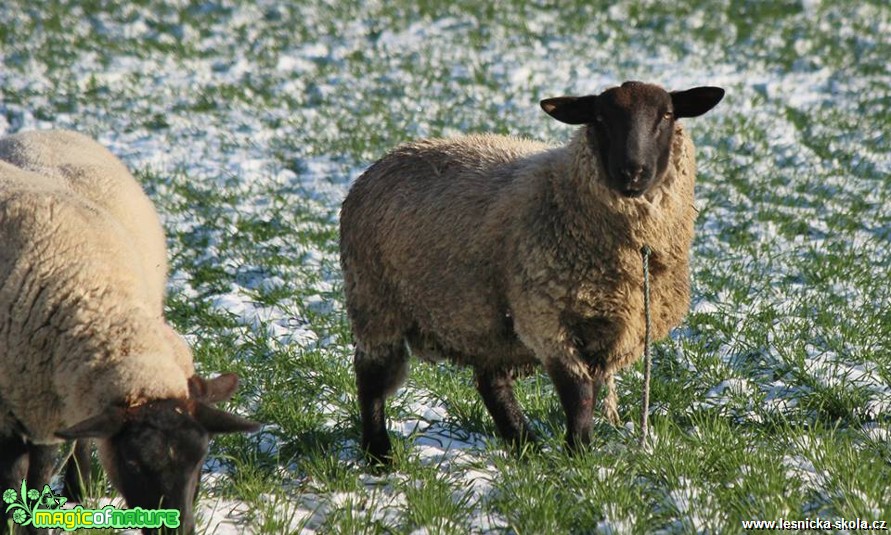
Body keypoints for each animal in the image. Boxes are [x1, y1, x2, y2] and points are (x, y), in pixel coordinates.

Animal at [342, 80, 724, 460]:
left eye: (667, 115)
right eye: (600, 118)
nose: (632, 172)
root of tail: (388, 158)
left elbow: (588, 390)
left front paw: (576, 452)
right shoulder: (546, 316)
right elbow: (579, 393)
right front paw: (579, 455)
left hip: (482, 317)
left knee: (491, 383)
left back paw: (525, 445)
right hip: (374, 300)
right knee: (371, 379)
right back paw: (379, 455)